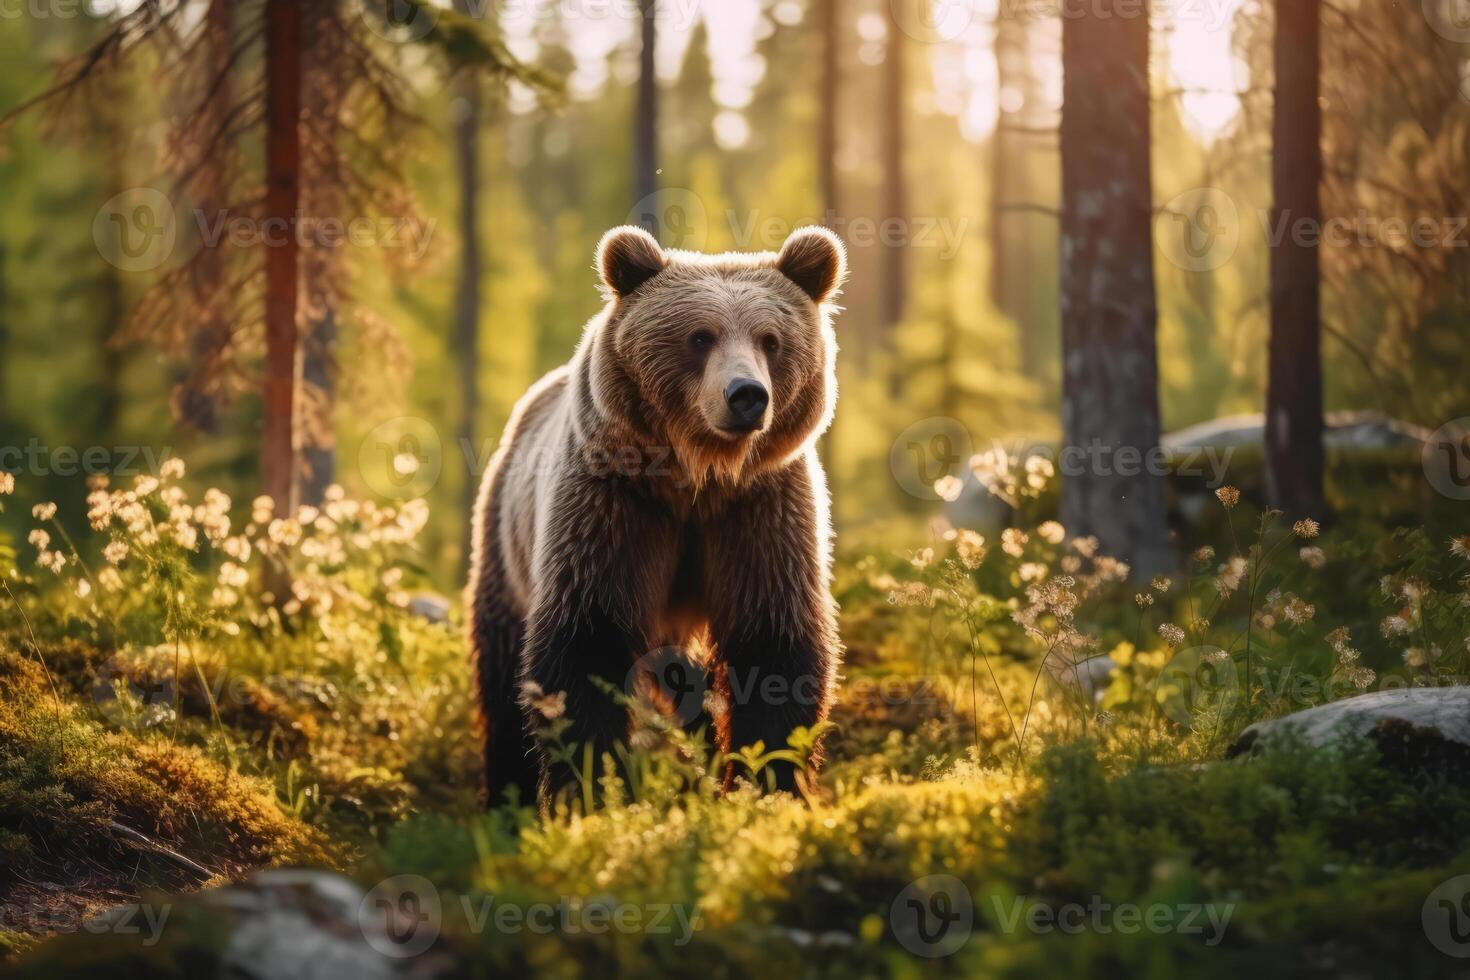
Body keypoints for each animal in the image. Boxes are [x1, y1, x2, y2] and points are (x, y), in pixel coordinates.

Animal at [464, 226, 846, 811]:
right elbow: (585, 643)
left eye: (771, 340)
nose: (747, 395)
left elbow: (774, 647)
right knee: (502, 667)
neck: (696, 478)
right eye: (700, 337)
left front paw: (769, 786)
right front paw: (593, 790)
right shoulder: (615, 506)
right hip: (505, 544)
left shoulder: (758, 511)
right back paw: (508, 796)